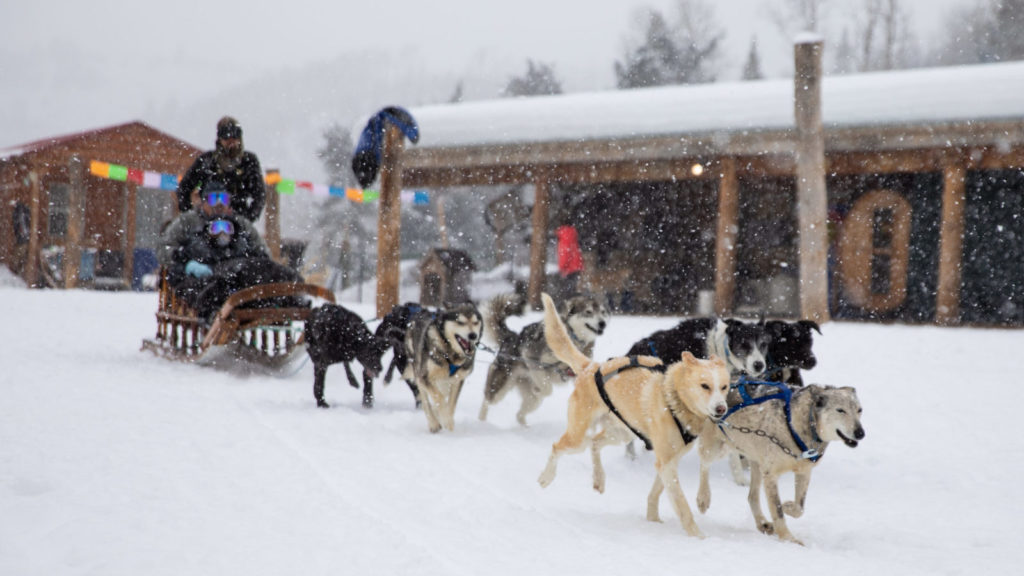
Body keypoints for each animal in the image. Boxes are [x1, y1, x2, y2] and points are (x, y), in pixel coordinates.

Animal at [399, 301, 483, 430]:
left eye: (475, 322)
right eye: (460, 322)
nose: (473, 335)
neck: (450, 353)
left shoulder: (458, 380)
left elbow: (451, 403)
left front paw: (448, 420)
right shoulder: (425, 377)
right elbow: (438, 397)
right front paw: (446, 419)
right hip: (418, 372)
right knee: (425, 400)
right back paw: (433, 423)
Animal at [479, 293, 606, 424]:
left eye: (603, 312)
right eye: (588, 311)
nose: (603, 323)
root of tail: (510, 337)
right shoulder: (532, 359)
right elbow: (547, 389)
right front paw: (538, 390)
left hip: (533, 401)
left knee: (519, 414)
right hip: (499, 389)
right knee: (487, 401)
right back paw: (481, 422)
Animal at [532, 291, 733, 537]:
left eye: (724, 387)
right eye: (705, 386)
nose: (721, 408)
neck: (674, 399)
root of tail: (592, 367)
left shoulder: (668, 461)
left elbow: (656, 493)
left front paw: (653, 519)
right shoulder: (666, 463)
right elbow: (683, 506)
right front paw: (698, 536)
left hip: (623, 433)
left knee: (595, 443)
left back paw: (599, 478)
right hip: (578, 437)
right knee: (557, 447)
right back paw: (546, 477)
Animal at [696, 381, 864, 541]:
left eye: (859, 410)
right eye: (840, 410)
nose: (860, 433)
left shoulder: (804, 472)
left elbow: (799, 508)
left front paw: (787, 506)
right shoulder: (771, 475)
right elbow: (777, 511)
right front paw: (788, 539)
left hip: (756, 464)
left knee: (751, 496)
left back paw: (763, 523)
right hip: (717, 449)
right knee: (704, 465)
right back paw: (703, 498)